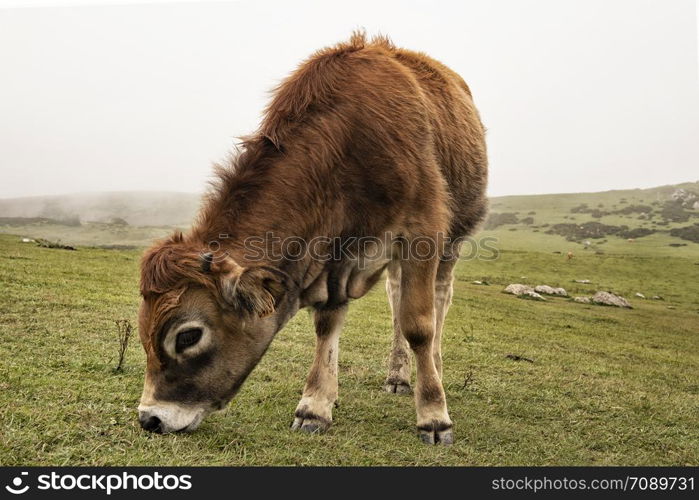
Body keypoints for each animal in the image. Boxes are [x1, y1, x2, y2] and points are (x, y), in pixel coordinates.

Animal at [135, 33, 486, 444]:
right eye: (143, 331)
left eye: (188, 336)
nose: (150, 418)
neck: (350, 142)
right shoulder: (335, 256)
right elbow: (328, 325)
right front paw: (315, 406)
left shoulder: (423, 231)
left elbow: (419, 324)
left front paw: (433, 416)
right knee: (396, 296)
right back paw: (398, 376)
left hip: (453, 238)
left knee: (439, 300)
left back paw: (435, 370)